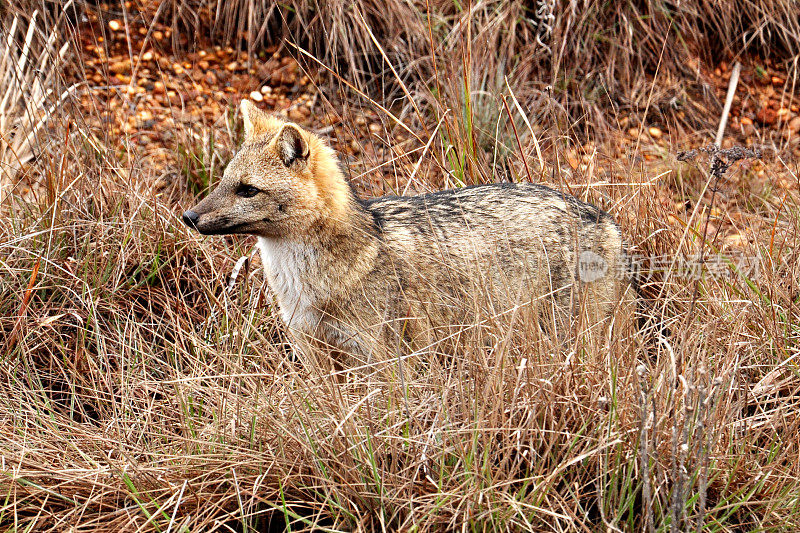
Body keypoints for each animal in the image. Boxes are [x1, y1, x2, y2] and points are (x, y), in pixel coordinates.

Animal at [181, 101, 632, 374]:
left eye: (247, 190)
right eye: (223, 182)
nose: (188, 217)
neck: (303, 282)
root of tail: (603, 218)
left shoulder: (384, 361)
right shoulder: (315, 354)